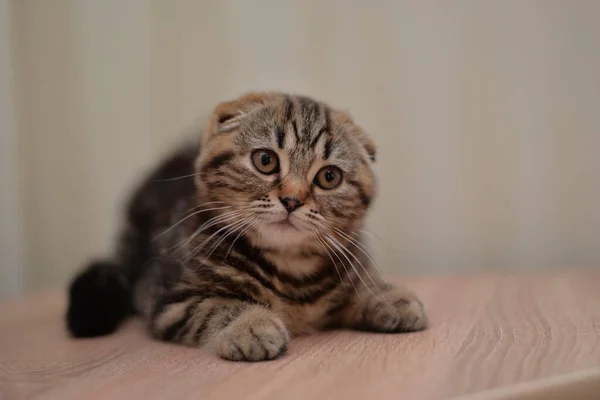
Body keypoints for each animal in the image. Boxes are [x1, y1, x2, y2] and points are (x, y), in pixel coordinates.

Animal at [68, 92, 428, 360]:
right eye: (265, 160)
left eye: (329, 177)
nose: (292, 200)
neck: (291, 271)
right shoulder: (167, 298)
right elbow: (215, 307)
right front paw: (252, 326)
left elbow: (360, 285)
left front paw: (388, 296)